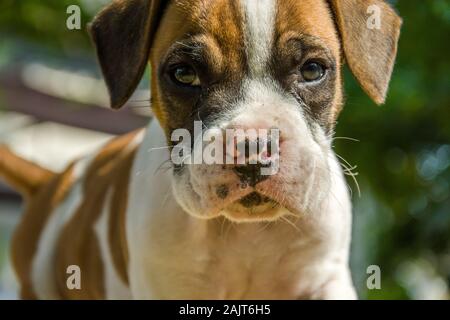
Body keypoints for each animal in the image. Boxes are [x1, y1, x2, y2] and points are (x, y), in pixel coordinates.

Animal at [0, 0, 400, 300]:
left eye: (313, 70)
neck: (245, 232)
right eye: (184, 74)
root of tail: (53, 182)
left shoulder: (324, 278)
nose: (253, 147)